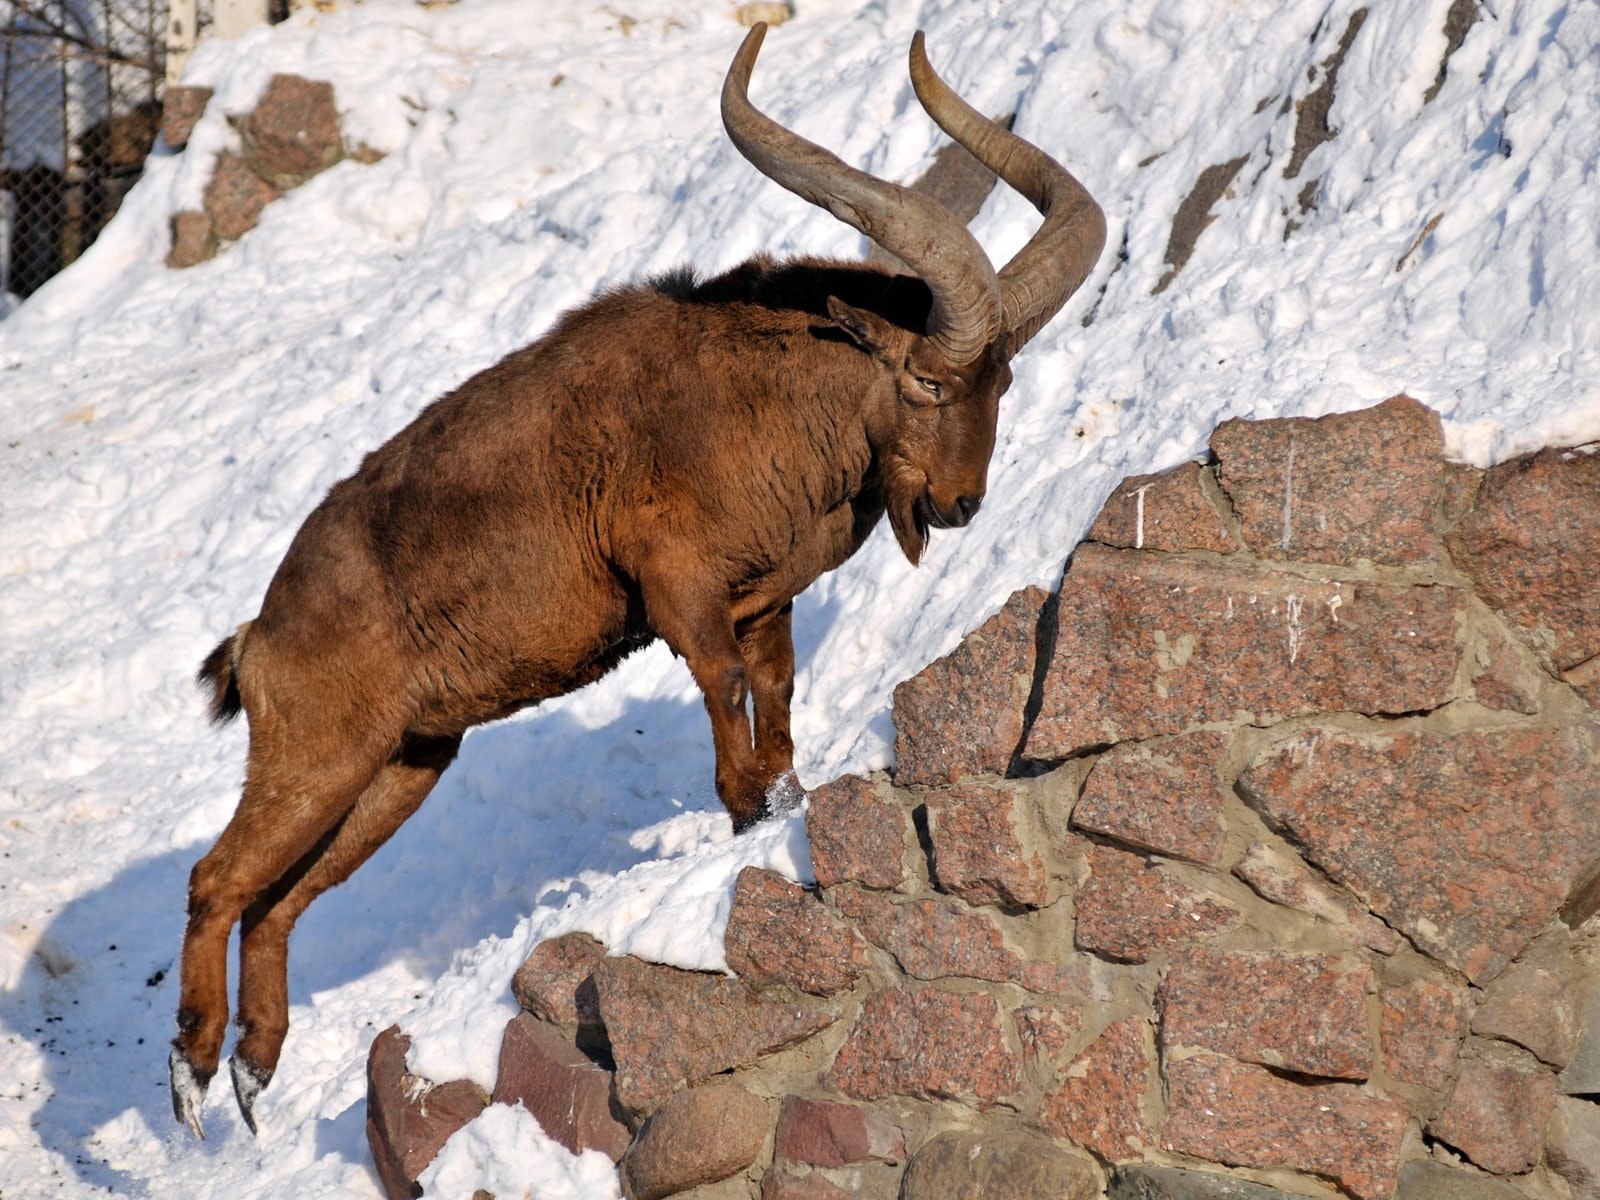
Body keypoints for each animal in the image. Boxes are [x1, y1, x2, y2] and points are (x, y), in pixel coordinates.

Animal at [172, 23, 1100, 1139]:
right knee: (216, 878)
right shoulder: (676, 583)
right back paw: (190, 1075)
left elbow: (776, 696)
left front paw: (776, 805)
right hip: (319, 752)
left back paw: (254, 1070)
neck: (756, 395)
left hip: (402, 765)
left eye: (1001, 381)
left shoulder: (763, 602)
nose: (961, 504)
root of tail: (260, 639)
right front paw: (744, 812)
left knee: (277, 901)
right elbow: (725, 689)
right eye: (927, 379)